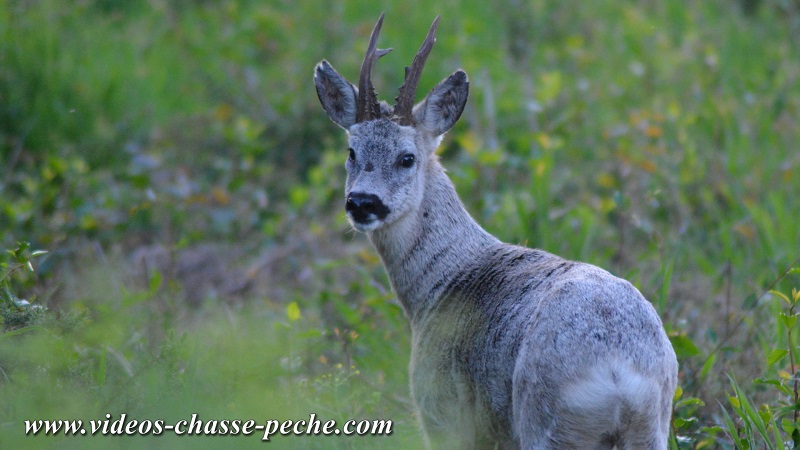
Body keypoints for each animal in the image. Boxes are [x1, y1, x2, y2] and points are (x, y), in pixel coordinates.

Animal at [316, 13, 680, 450]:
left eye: (407, 158)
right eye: (351, 152)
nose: (362, 202)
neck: (439, 283)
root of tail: (618, 372)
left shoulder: (442, 411)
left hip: (542, 422)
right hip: (651, 428)